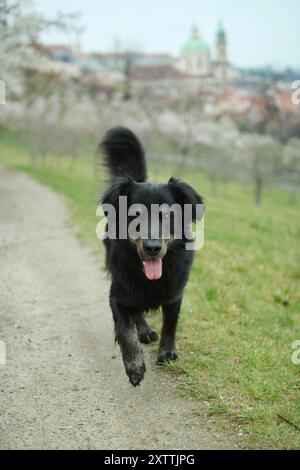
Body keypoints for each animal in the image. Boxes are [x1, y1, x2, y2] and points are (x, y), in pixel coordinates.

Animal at [101, 129, 204, 386]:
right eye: (134, 215)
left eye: (167, 216)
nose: (152, 248)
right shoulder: (116, 294)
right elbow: (124, 330)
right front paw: (134, 366)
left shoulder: (175, 293)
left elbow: (170, 324)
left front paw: (167, 352)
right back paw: (144, 331)